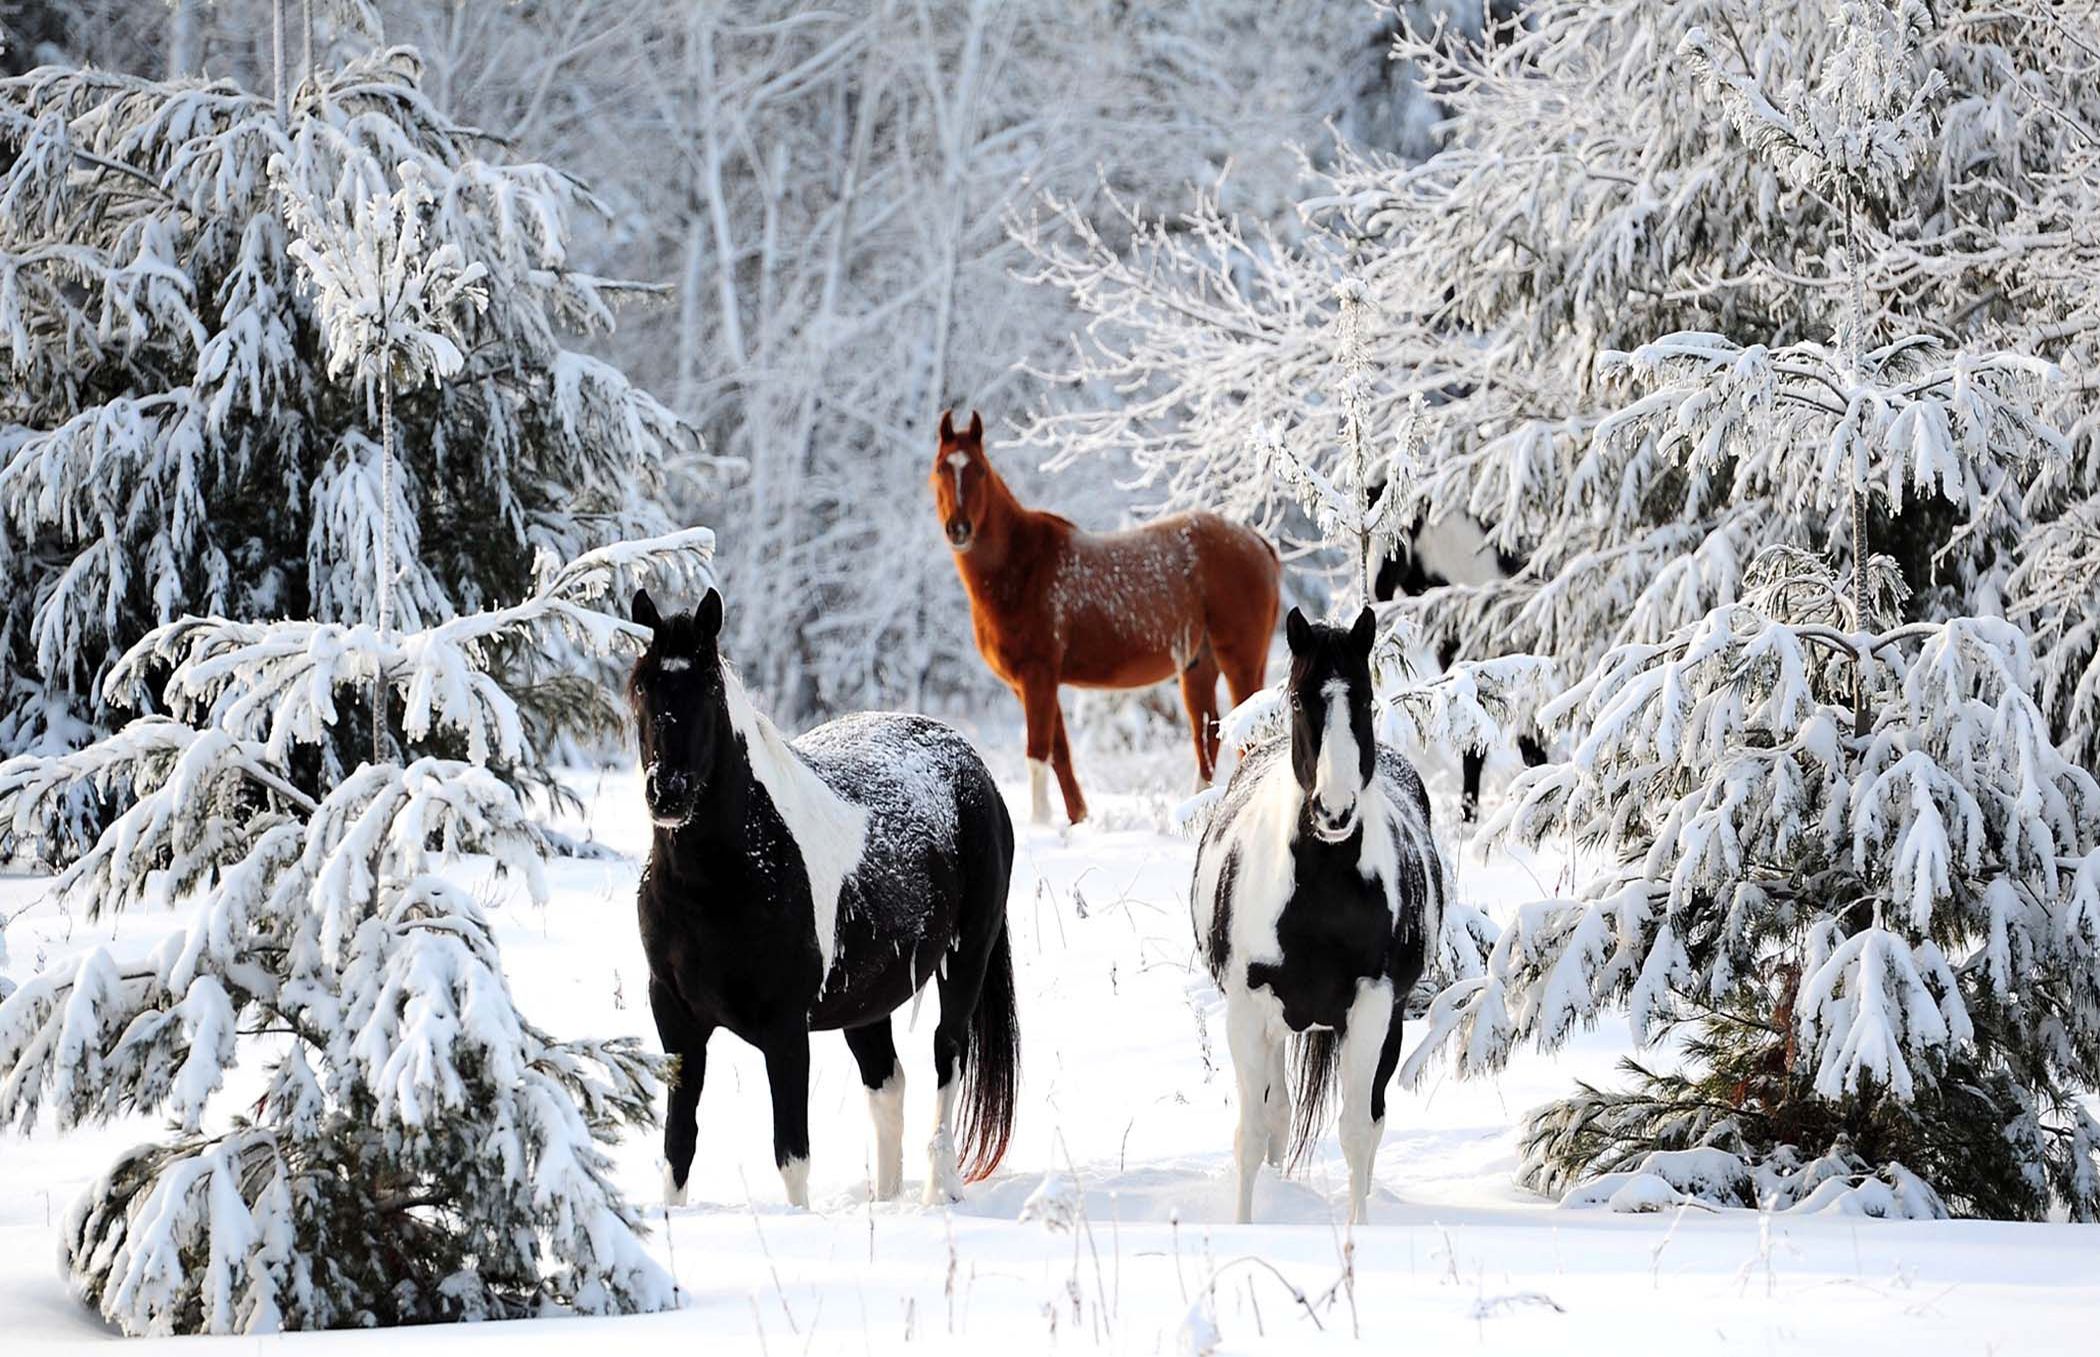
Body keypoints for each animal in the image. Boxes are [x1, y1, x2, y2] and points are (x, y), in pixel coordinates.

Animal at [932, 409, 1276, 823]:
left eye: (980, 470)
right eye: (940, 468)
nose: (959, 529)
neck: (1022, 565)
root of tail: (1257, 544)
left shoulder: (1038, 675)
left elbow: (1037, 753)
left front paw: (1040, 822)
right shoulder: (1029, 683)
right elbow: (1059, 754)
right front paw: (1076, 820)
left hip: (1240, 663)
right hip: (1198, 666)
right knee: (1207, 736)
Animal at [1201, 613, 1444, 1226]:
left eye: (1365, 698)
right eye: (1296, 698)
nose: (1334, 812)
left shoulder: (1375, 1007)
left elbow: (1358, 1132)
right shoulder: (1247, 1011)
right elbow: (1253, 1133)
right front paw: (1244, 1227)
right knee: (1278, 1119)